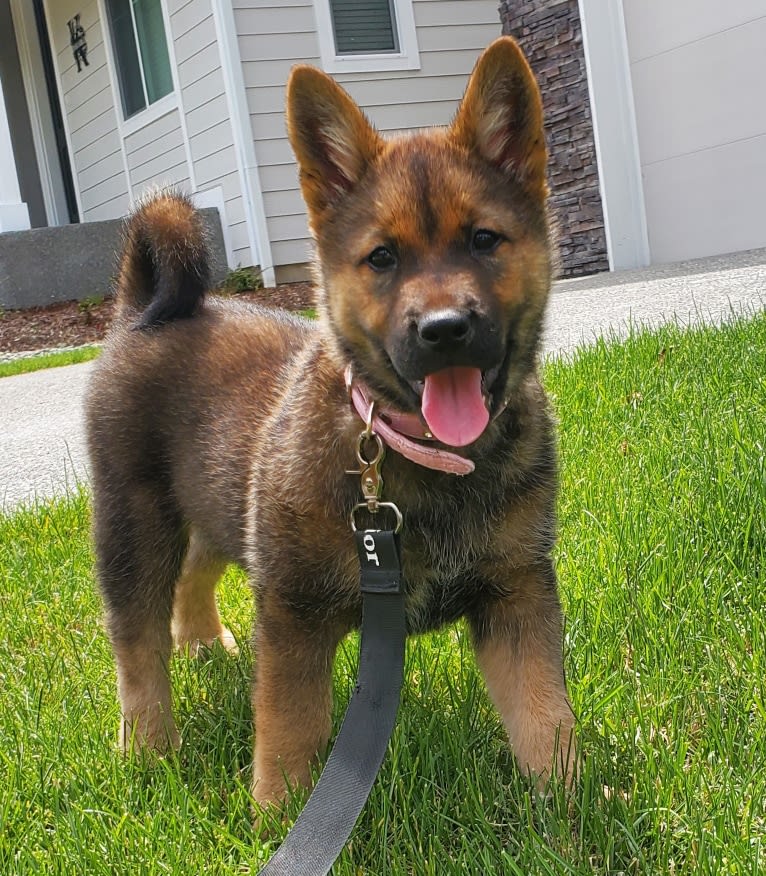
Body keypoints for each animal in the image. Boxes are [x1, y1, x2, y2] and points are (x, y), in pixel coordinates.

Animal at [85, 37, 576, 812]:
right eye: (382, 258)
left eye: (484, 239)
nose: (445, 329)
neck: (420, 457)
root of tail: (141, 311)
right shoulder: (294, 612)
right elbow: (291, 727)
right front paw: (276, 812)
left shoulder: (517, 588)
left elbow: (543, 711)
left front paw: (569, 807)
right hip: (134, 522)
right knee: (136, 645)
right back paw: (148, 746)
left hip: (219, 499)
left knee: (196, 568)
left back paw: (203, 643)